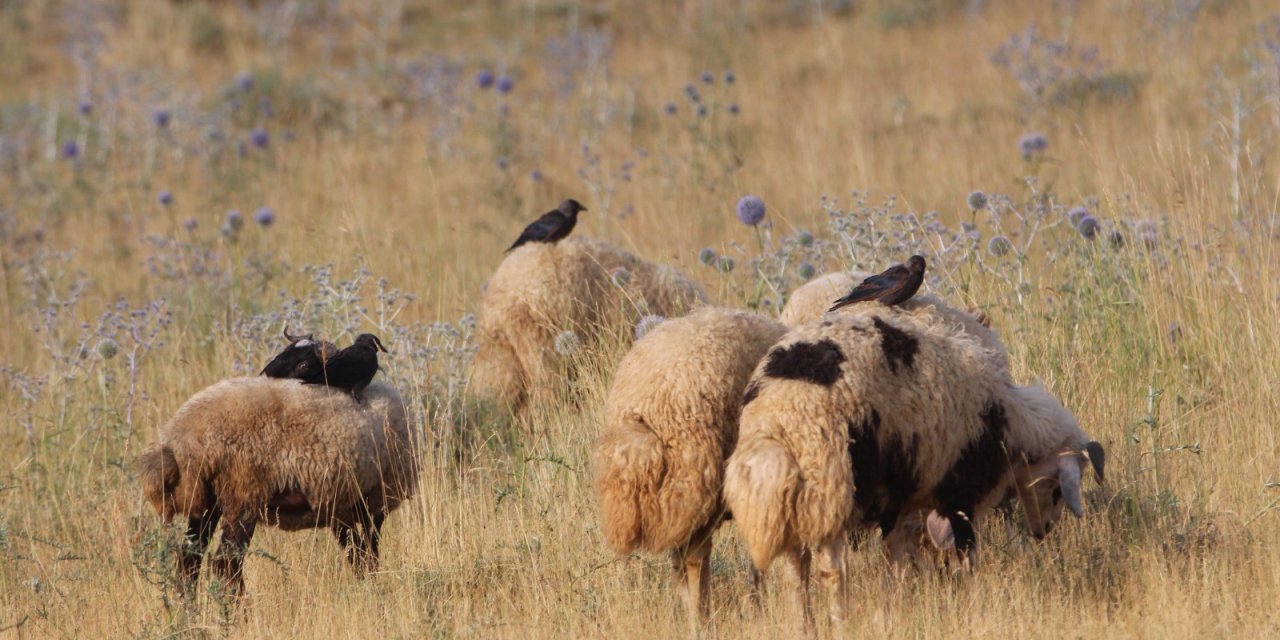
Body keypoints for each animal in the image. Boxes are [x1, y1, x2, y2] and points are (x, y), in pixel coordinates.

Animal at [140, 373, 419, 593]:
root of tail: (181, 438)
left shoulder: (343, 510)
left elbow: (359, 558)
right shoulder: (372, 504)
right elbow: (368, 558)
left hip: (210, 502)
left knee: (189, 559)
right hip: (243, 495)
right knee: (226, 562)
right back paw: (240, 618)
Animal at [727, 305, 1105, 624]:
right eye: (1056, 490)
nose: (1043, 532)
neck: (1011, 423)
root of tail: (779, 418)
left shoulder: (904, 500)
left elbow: (897, 557)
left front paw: (894, 606)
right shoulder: (959, 495)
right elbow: (965, 557)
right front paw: (965, 604)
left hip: (795, 499)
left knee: (794, 571)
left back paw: (804, 625)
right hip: (834, 485)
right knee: (830, 570)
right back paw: (840, 623)